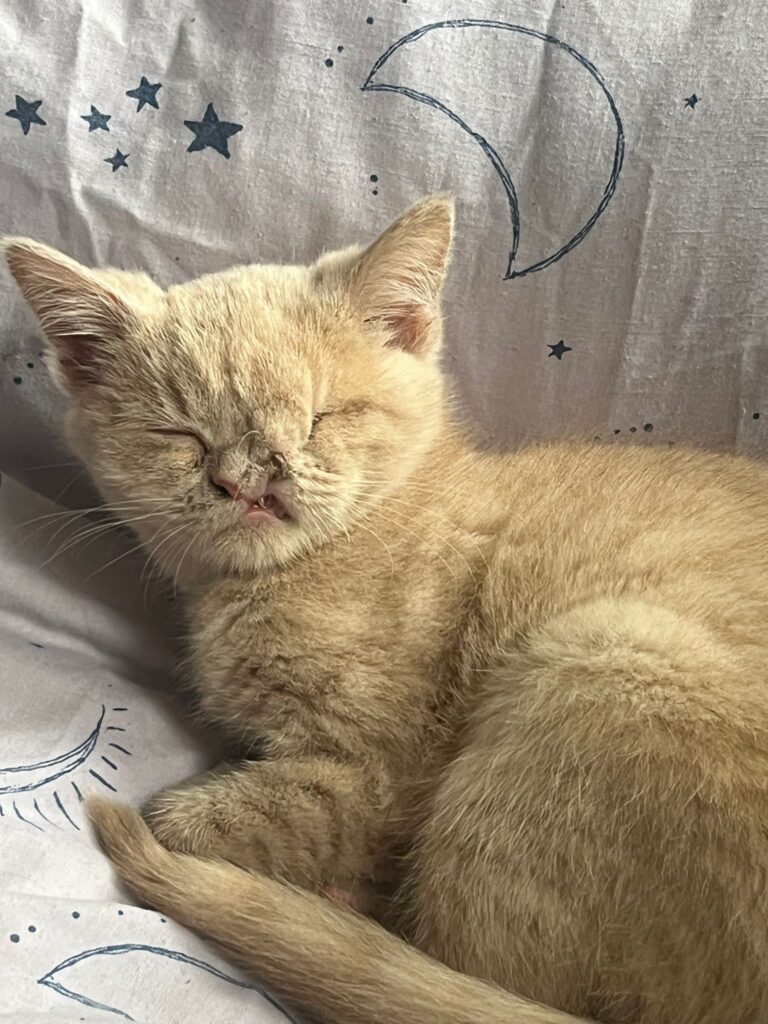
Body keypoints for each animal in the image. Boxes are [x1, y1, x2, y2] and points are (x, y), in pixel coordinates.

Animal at [6, 195, 768, 1019]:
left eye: (320, 417)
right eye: (183, 436)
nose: (252, 479)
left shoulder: (382, 776)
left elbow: (209, 820)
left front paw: (187, 822)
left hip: (604, 658)